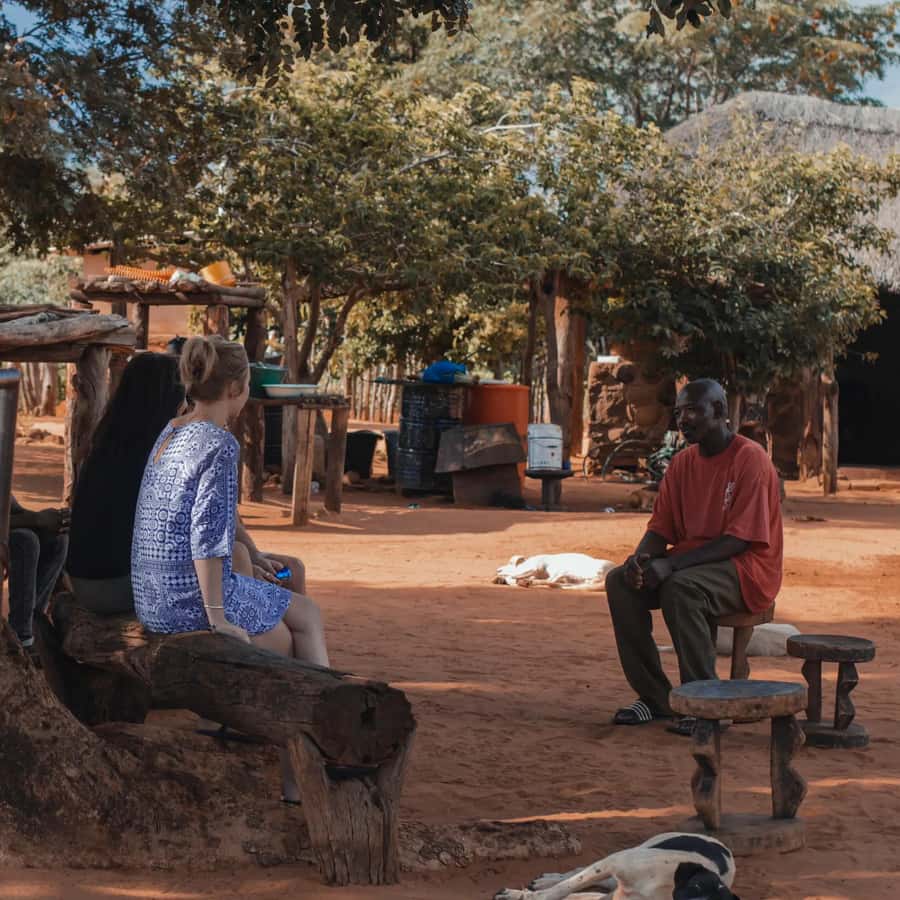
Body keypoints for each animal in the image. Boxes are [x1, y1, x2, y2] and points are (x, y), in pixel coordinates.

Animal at [494, 832, 737, 900]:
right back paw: (547, 880)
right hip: (642, 847)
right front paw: (519, 895)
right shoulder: (614, 862)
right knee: (576, 873)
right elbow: (562, 889)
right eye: (695, 887)